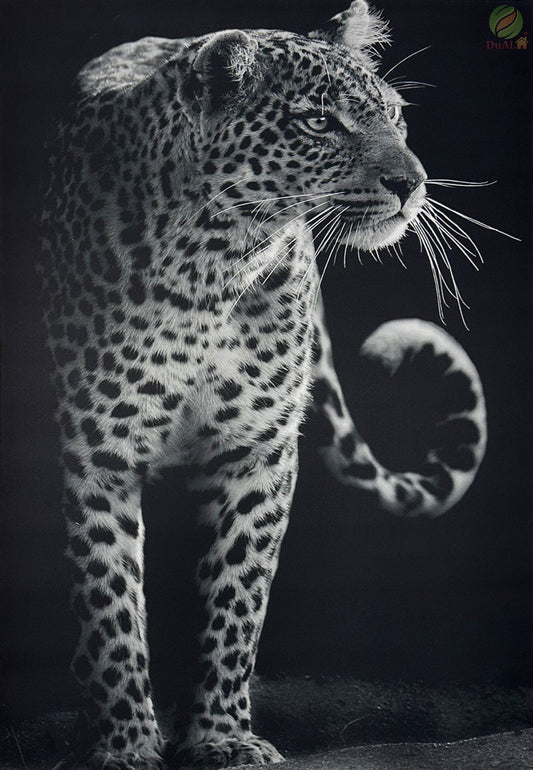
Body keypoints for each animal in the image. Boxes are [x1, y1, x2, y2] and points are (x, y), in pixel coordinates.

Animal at [39, 1, 487, 768]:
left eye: (395, 116)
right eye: (319, 123)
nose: (413, 184)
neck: (211, 264)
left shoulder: (257, 452)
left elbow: (236, 598)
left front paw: (221, 736)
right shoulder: (95, 454)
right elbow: (109, 606)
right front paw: (126, 743)